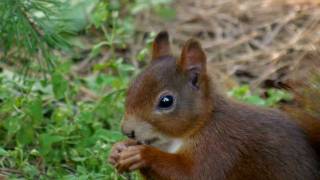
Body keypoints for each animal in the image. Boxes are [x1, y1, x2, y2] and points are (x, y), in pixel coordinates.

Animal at [108, 31, 320, 179]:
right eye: (131, 87)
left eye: (166, 101)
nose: (127, 131)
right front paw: (118, 149)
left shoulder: (220, 148)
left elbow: (192, 175)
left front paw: (142, 155)